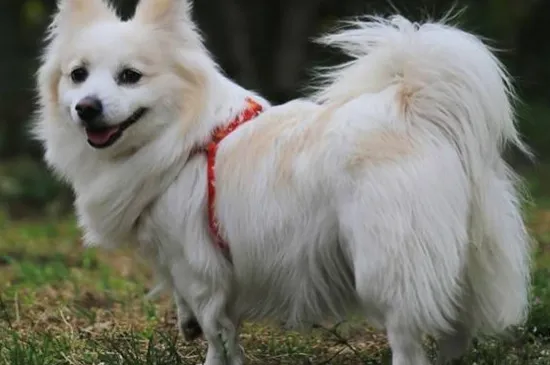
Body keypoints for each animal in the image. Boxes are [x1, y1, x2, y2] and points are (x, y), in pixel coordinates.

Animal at [34, 0, 536, 362]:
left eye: (130, 76)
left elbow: (217, 334)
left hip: (386, 269)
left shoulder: (200, 266)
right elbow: (197, 312)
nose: (87, 107)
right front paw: (186, 324)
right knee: (455, 334)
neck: (184, 138)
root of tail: (418, 110)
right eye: (77, 75)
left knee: (409, 343)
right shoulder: (184, 261)